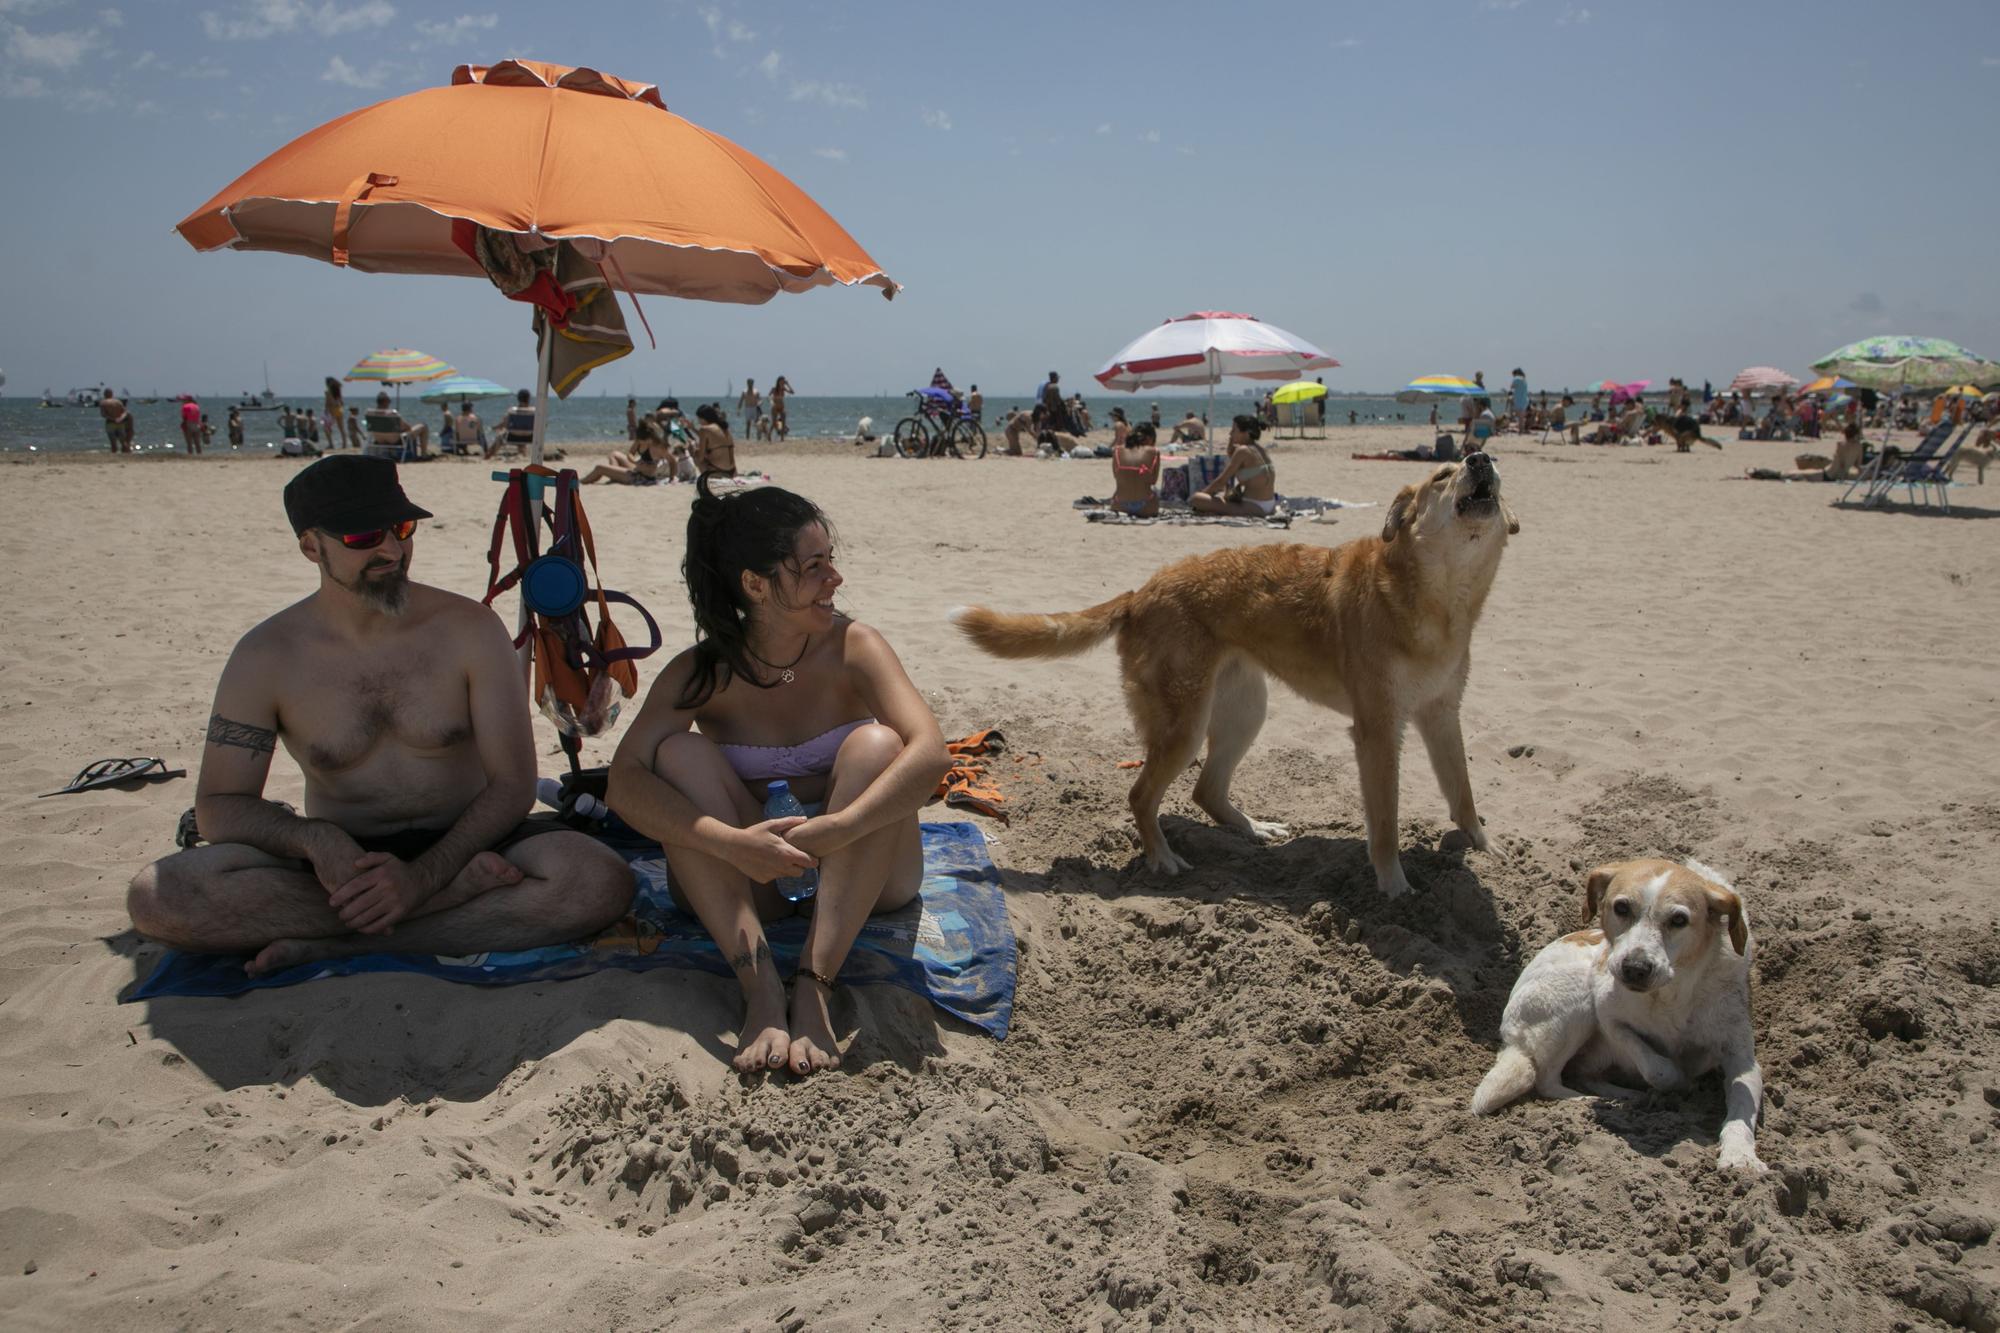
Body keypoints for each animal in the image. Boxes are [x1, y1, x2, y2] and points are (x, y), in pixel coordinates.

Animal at [956, 452, 1512, 896]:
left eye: (1480, 461)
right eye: (1442, 475)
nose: (1481, 458)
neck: (1436, 598)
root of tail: (1141, 592)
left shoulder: (1441, 715)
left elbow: (1463, 791)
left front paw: (1485, 847)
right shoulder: (1377, 731)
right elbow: (1386, 823)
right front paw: (1394, 886)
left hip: (1245, 712)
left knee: (1206, 790)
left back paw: (1253, 830)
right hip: (1185, 728)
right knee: (1141, 795)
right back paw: (1163, 859)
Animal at [1472, 856, 1768, 1168]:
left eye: (1679, 920)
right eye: (1622, 908)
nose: (1635, 968)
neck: (1672, 992)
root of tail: (1511, 1040)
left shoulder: (1741, 1057)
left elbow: (1741, 1106)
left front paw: (1740, 1156)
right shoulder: (1606, 1010)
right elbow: (1655, 1066)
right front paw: (1678, 1079)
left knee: (1581, 1073)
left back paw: (1622, 1096)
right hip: (1577, 999)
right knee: (1547, 1080)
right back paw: (1585, 1101)